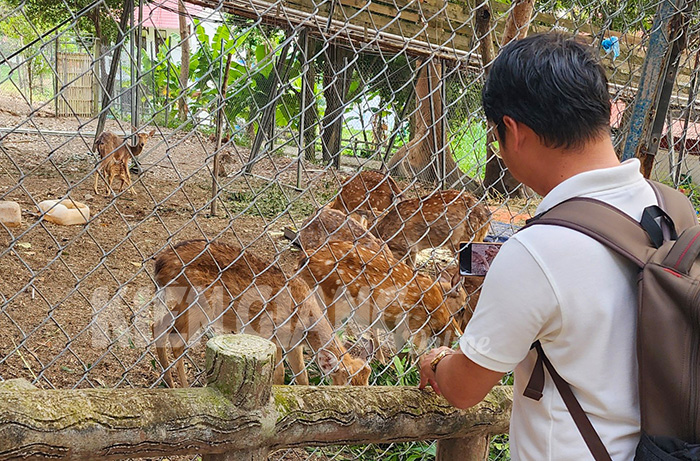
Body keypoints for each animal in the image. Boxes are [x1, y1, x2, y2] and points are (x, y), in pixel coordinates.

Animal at [152, 239, 372, 386]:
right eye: (346, 382)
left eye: (368, 379)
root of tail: (161, 262)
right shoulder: (269, 331)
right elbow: (279, 374)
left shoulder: (293, 344)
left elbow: (302, 376)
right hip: (199, 303)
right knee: (176, 338)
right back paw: (182, 387)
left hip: (185, 302)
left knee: (158, 326)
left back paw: (168, 382)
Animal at [296, 241, 464, 356]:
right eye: (463, 308)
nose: (459, 334)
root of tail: (304, 260)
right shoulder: (417, 326)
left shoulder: (400, 330)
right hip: (332, 301)